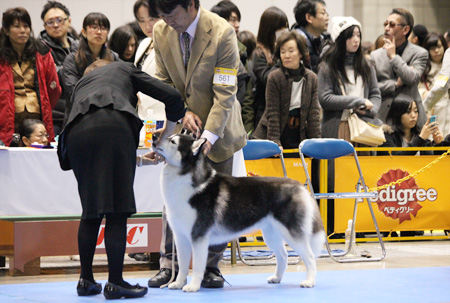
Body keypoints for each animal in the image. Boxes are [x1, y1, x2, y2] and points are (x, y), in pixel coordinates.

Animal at [153, 135, 326, 292]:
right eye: (169, 137)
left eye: (172, 141)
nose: (154, 136)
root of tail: (299, 186)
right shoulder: (181, 237)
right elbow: (182, 266)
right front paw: (177, 283)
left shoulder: (199, 237)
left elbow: (196, 266)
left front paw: (193, 286)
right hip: (271, 235)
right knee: (283, 255)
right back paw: (277, 278)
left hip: (292, 234)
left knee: (310, 257)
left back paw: (309, 282)